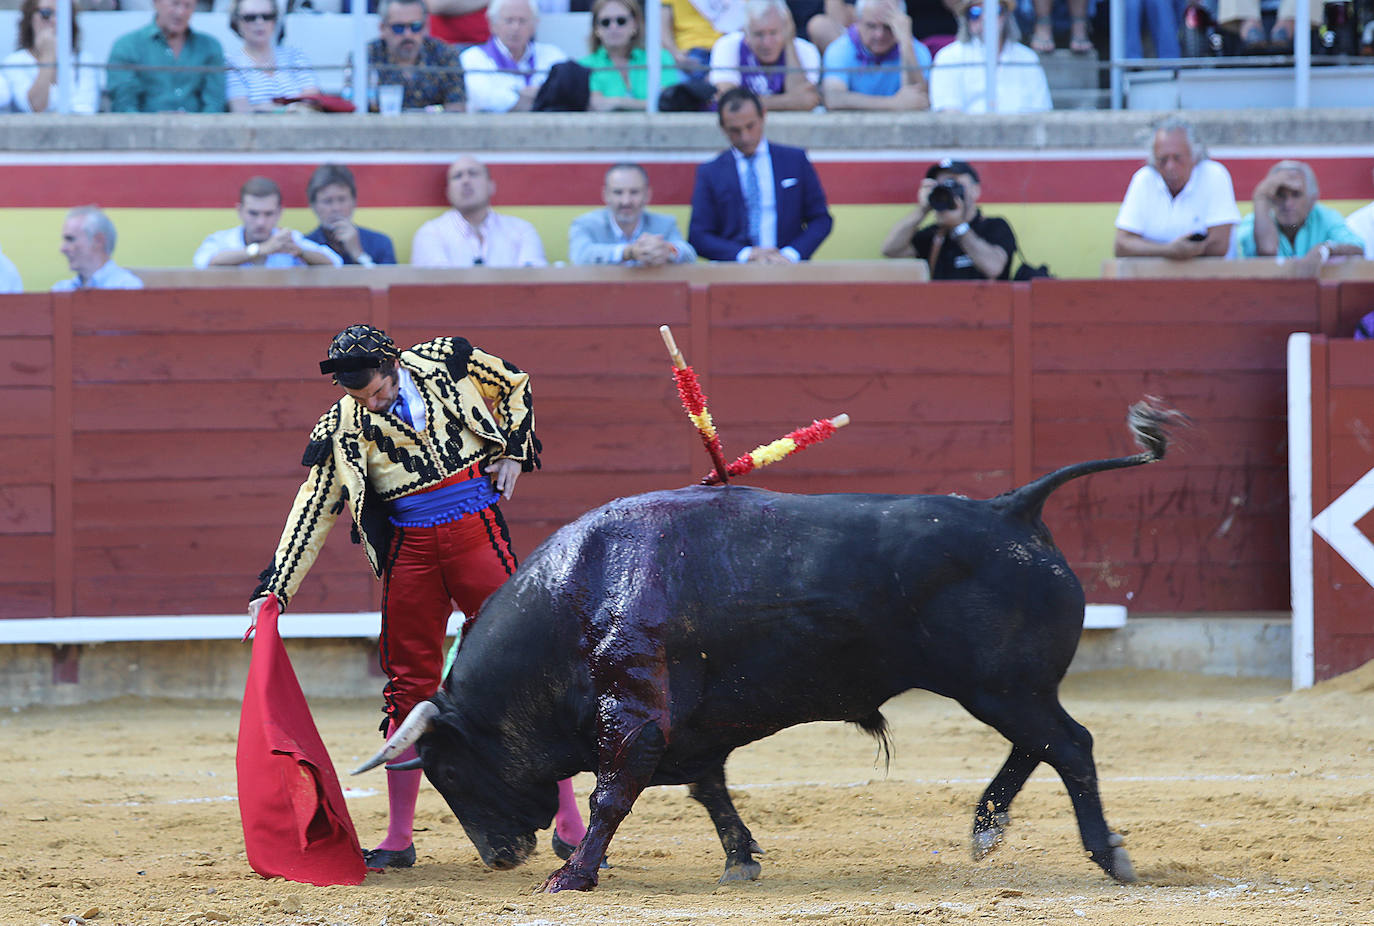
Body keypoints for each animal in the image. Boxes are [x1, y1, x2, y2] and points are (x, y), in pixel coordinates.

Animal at [354, 395, 1170, 884]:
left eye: (448, 771)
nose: (500, 856)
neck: (578, 596)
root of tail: (1013, 509)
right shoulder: (687, 730)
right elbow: (708, 790)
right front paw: (740, 862)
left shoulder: (636, 716)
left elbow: (614, 792)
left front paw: (571, 875)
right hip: (1004, 688)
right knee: (1042, 743)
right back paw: (987, 828)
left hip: (1001, 686)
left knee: (1070, 745)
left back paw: (1107, 855)